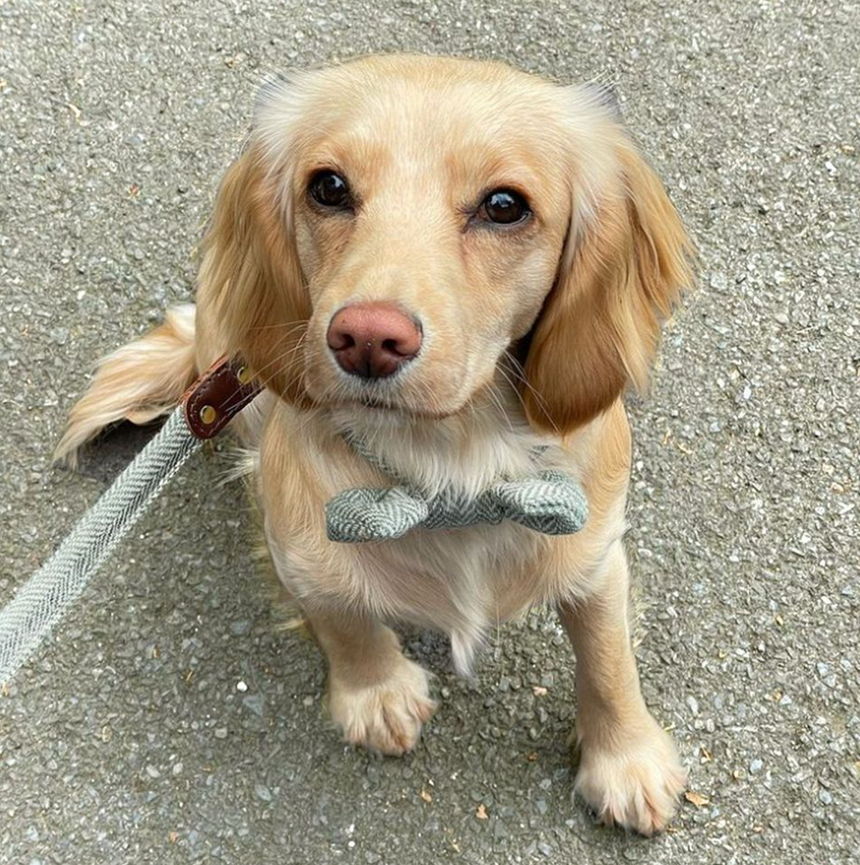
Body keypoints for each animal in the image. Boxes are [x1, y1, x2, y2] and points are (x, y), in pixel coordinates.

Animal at [57, 55, 692, 836]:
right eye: (328, 187)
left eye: (504, 205)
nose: (365, 337)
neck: (449, 466)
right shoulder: (298, 541)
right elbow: (342, 615)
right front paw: (376, 692)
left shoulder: (595, 546)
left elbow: (606, 655)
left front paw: (625, 757)